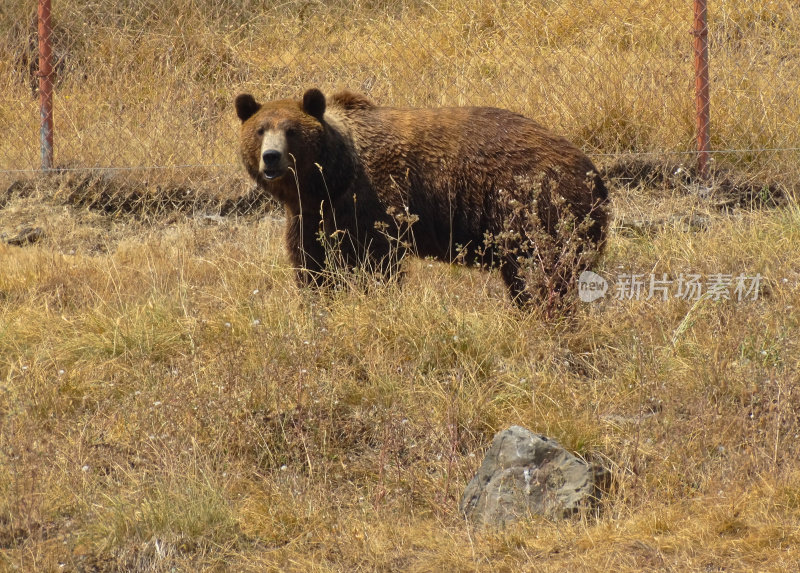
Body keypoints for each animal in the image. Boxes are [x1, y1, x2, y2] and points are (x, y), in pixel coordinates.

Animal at [234, 87, 608, 308]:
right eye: (260, 130)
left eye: (291, 131)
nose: (271, 158)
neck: (332, 179)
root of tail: (594, 173)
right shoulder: (312, 215)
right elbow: (312, 263)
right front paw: (318, 299)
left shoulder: (376, 202)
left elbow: (378, 263)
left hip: (533, 208)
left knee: (541, 271)